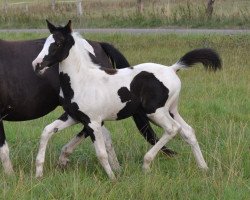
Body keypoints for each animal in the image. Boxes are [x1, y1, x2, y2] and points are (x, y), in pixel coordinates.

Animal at [32, 20, 222, 180]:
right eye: (45, 42)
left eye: (58, 43)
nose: (37, 65)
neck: (82, 80)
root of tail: (172, 68)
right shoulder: (73, 116)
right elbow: (47, 131)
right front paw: (39, 173)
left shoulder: (93, 122)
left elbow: (101, 152)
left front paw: (112, 178)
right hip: (171, 110)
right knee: (188, 131)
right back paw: (203, 167)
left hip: (155, 112)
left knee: (172, 129)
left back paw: (146, 164)